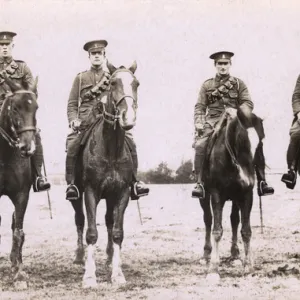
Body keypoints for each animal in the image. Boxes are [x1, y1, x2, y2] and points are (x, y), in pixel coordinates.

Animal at [71, 61, 140, 288]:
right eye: (113, 83)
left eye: (136, 83)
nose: (128, 118)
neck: (111, 149)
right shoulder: (90, 192)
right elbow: (91, 232)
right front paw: (89, 276)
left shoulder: (122, 193)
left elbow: (117, 232)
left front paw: (117, 274)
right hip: (76, 196)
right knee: (80, 220)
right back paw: (79, 256)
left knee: (109, 221)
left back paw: (110, 258)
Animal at [199, 109, 260, 282]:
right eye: (242, 140)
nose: (247, 179)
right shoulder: (216, 195)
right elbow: (216, 230)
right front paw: (213, 270)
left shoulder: (246, 196)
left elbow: (246, 231)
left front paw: (248, 268)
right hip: (204, 197)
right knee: (208, 220)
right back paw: (206, 254)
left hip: (235, 198)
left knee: (234, 220)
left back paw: (235, 255)